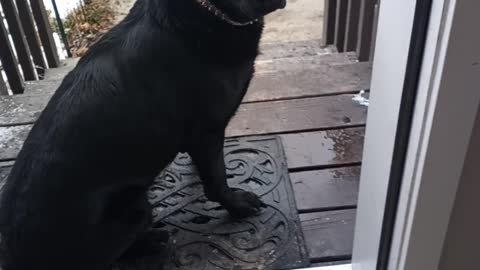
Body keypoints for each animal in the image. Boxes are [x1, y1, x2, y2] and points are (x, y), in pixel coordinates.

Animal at [0, 0, 284, 268]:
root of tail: (13, 255)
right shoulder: (208, 131)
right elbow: (216, 181)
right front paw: (237, 204)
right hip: (134, 206)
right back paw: (151, 240)